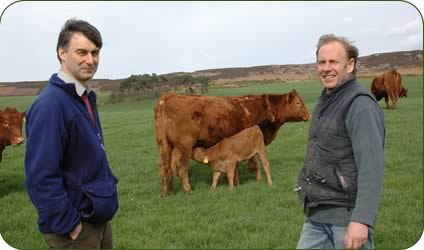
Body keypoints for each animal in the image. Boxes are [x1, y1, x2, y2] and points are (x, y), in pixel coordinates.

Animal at [154, 89, 310, 196]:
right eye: (298, 103)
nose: (309, 116)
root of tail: (168, 97)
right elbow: (252, 160)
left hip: (164, 146)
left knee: (164, 167)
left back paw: (166, 192)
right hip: (185, 146)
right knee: (182, 168)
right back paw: (187, 190)